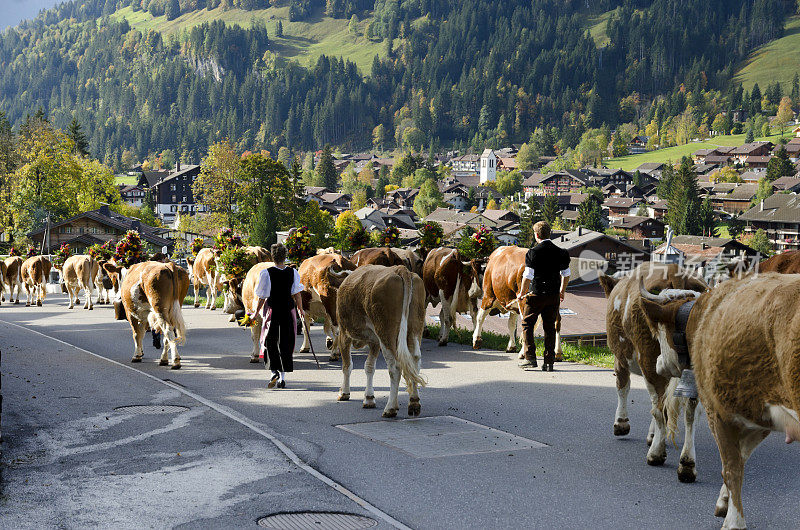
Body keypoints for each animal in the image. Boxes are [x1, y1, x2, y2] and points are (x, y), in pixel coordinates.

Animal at [334, 264, 428, 416]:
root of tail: (400, 269)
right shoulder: (374, 341)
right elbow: (369, 367)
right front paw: (369, 398)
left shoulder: (344, 334)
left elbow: (347, 366)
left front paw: (344, 393)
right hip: (415, 327)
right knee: (414, 361)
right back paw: (414, 403)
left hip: (386, 332)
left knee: (395, 366)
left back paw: (390, 408)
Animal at [596, 262, 708, 480]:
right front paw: (654, 435)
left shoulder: (620, 358)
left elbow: (623, 388)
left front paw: (621, 424)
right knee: (689, 411)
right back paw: (687, 463)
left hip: (648, 360)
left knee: (660, 407)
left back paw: (656, 454)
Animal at [640, 272, 800, 528]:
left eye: (657, 332)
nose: (657, 363)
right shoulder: (758, 416)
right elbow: (740, 459)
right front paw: (725, 503)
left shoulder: (719, 411)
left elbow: (731, 468)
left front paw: (734, 521)